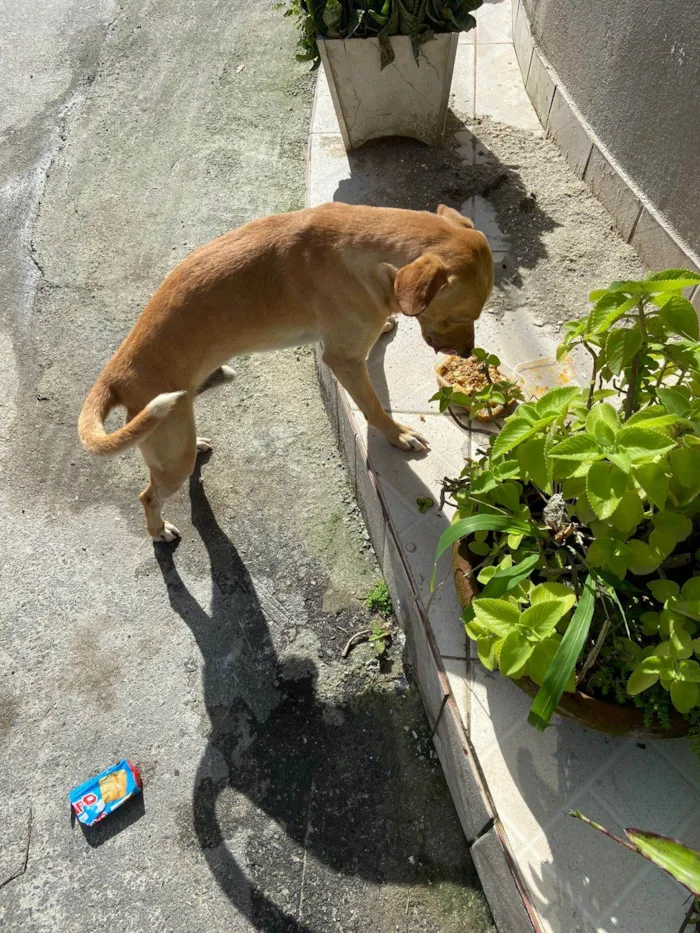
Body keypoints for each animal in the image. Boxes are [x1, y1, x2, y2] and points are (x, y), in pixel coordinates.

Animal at [79, 202, 492, 540]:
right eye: (458, 316)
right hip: (170, 460)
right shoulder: (343, 360)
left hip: (177, 426)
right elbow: (374, 406)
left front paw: (389, 323)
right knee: (148, 496)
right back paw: (157, 530)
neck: (363, 248)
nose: (468, 353)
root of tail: (116, 375)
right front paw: (398, 435)